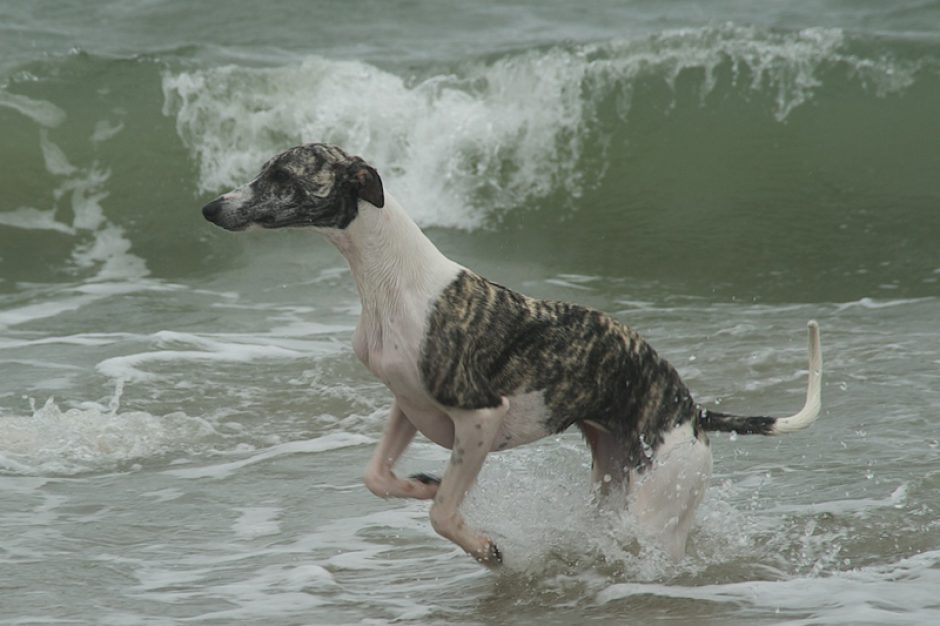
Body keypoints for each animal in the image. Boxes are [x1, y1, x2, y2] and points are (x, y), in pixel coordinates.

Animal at [200, 143, 824, 564]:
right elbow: (377, 476)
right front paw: (420, 482)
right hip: (612, 482)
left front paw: (484, 548)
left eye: (281, 175)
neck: (393, 280)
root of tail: (692, 411)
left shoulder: (479, 416)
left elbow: (442, 513)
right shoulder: (407, 403)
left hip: (659, 506)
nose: (209, 209)